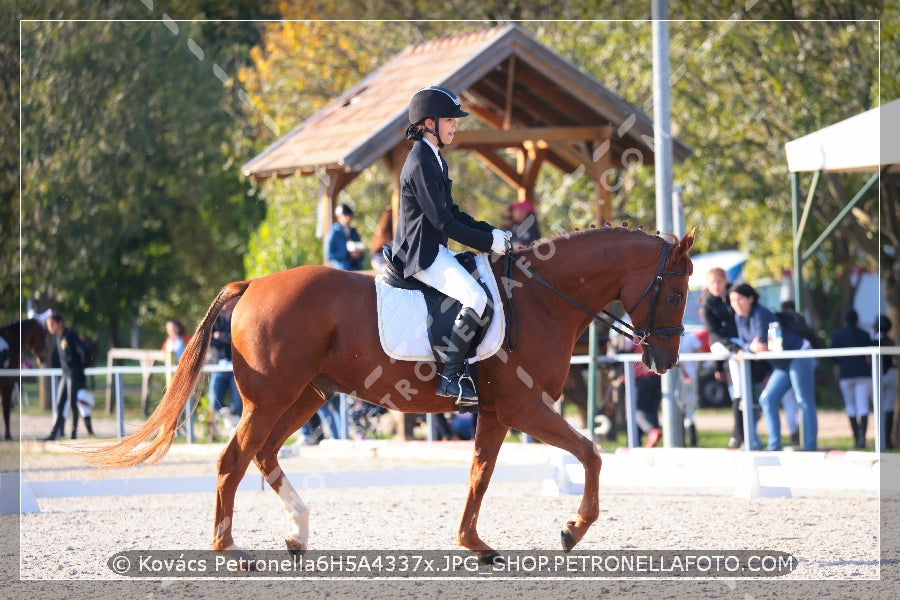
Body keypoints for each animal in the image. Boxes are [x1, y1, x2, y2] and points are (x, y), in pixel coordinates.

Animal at [86, 226, 696, 564]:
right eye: (675, 291)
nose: (663, 362)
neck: (542, 297)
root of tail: (253, 283)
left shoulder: (497, 412)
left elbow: (479, 474)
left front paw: (473, 543)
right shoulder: (523, 407)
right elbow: (590, 453)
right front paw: (572, 530)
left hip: (305, 397)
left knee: (264, 454)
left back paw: (298, 534)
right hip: (271, 399)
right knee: (233, 460)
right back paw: (231, 551)